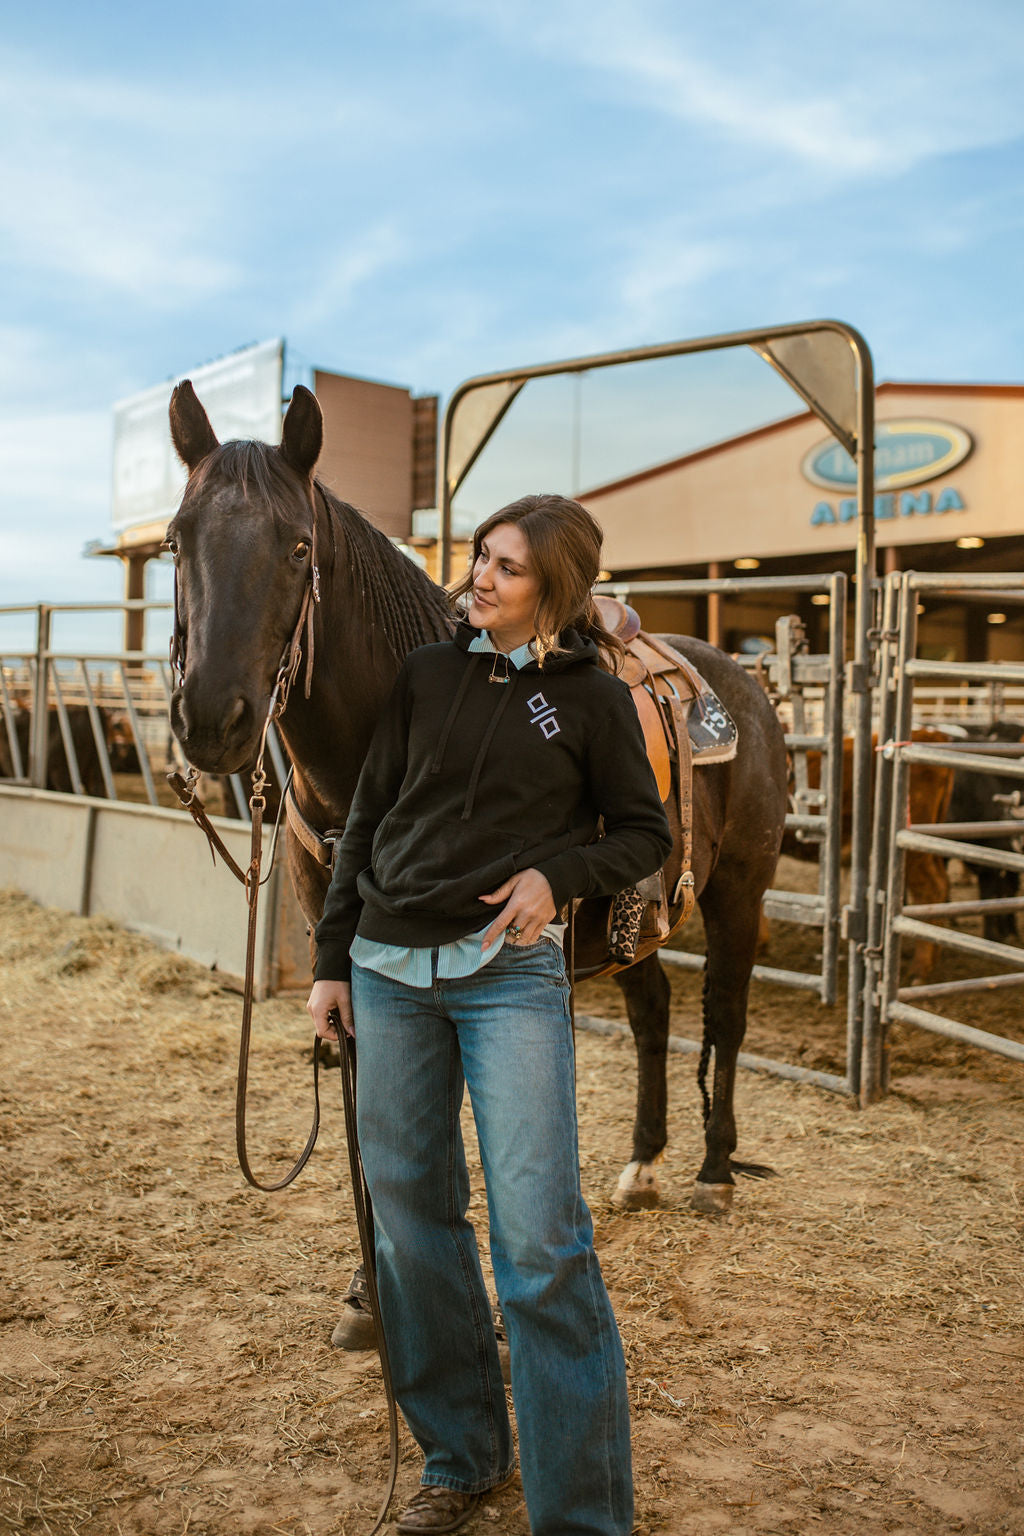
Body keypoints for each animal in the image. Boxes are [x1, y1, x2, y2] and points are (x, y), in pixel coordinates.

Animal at [166, 380, 792, 1210]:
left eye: (298, 547)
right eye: (176, 542)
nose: (211, 718)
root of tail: (744, 686)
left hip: (739, 892)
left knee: (725, 1015)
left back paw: (715, 1169)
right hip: (635, 920)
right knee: (654, 1009)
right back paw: (643, 1164)